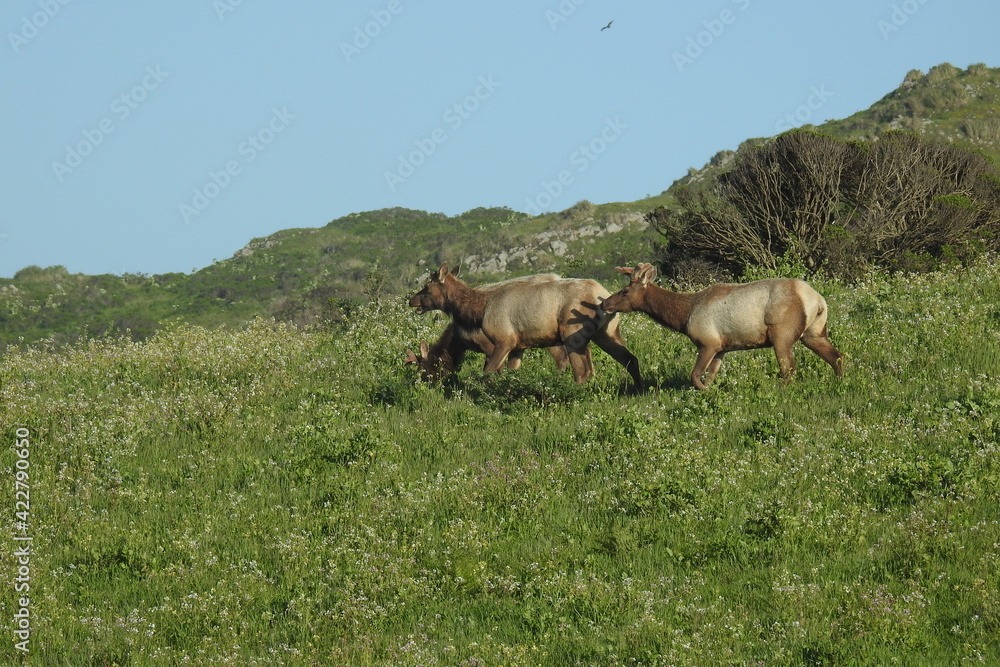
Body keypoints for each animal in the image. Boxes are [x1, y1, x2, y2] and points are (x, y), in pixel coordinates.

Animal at [407, 263, 641, 386]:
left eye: (426, 287)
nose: (411, 300)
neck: (477, 311)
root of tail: (600, 294)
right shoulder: (518, 347)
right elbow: (511, 373)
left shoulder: (503, 340)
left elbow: (490, 371)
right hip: (606, 333)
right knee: (630, 359)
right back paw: (638, 388)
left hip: (572, 334)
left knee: (582, 370)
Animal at [601, 262, 843, 389]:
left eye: (625, 291)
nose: (604, 303)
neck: (683, 316)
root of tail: (817, 300)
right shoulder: (722, 348)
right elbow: (710, 375)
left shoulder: (708, 342)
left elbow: (695, 376)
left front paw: (705, 391)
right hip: (814, 332)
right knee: (837, 356)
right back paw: (840, 382)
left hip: (782, 334)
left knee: (789, 368)